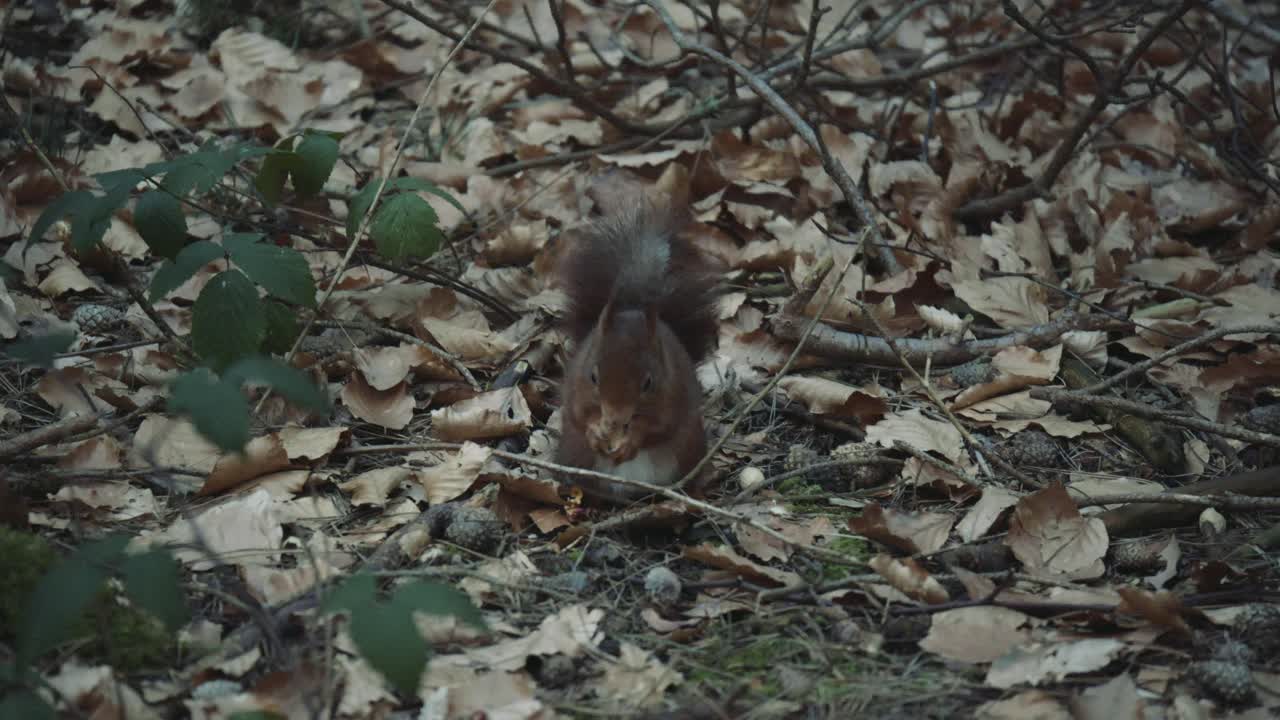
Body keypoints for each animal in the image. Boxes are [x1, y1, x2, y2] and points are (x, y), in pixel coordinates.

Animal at [555, 200, 721, 504]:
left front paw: (632, 440)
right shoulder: (576, 391)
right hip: (575, 453)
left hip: (688, 449)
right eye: (593, 376)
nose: (615, 418)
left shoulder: (672, 393)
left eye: (648, 383)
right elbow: (578, 415)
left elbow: (659, 427)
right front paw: (595, 431)